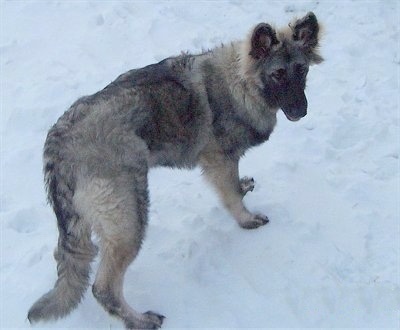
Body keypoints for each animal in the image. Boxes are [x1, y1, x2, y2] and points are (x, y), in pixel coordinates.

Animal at [28, 11, 322, 328]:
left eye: (302, 70)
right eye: (277, 74)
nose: (301, 110)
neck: (240, 82)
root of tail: (59, 141)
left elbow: (234, 186)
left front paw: (244, 187)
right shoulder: (220, 160)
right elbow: (231, 195)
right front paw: (246, 218)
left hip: (85, 225)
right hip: (129, 219)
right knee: (103, 288)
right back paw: (139, 320)